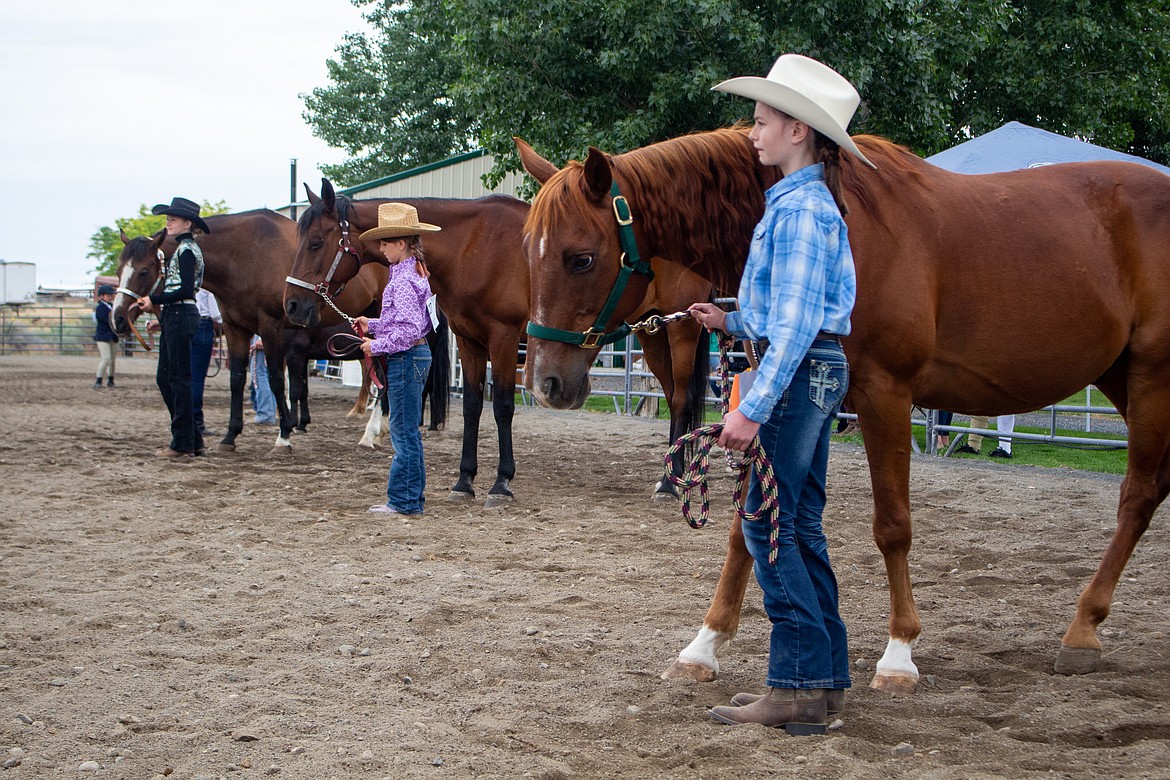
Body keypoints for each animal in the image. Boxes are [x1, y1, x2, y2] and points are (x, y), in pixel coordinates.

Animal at [108, 212, 449, 451]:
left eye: (143, 271)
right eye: (119, 269)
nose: (118, 320)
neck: (243, 255)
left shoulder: (271, 328)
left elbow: (275, 380)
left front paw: (284, 434)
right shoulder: (236, 329)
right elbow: (237, 380)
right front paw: (230, 436)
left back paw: (371, 434)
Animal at [283, 182, 713, 506]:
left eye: (317, 242)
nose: (292, 305)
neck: (471, 247)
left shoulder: (504, 339)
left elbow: (503, 406)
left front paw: (501, 483)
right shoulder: (470, 341)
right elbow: (473, 406)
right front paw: (464, 481)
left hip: (680, 332)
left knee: (681, 399)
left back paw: (671, 484)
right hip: (651, 333)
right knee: (674, 395)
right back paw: (667, 476)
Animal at [515, 127, 1170, 695]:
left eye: (580, 257)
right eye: (527, 250)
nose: (547, 382)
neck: (843, 228)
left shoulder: (886, 395)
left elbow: (892, 526)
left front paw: (899, 654)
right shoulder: (781, 399)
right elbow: (747, 529)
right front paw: (704, 644)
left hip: (1151, 377)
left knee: (1137, 496)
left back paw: (1083, 629)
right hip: (1119, 376)